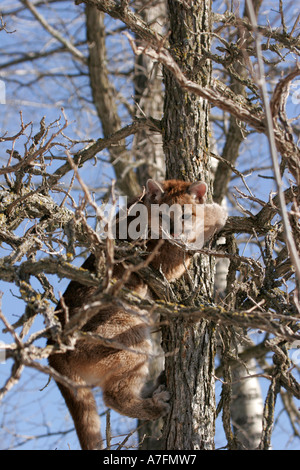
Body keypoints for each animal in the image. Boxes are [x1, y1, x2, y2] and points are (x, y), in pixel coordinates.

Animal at [48, 178, 227, 450]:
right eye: (164, 215)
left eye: (185, 214)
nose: (173, 231)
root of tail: (52, 347)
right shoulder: (164, 259)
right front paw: (217, 211)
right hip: (129, 334)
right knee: (113, 396)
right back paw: (155, 404)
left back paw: (158, 386)